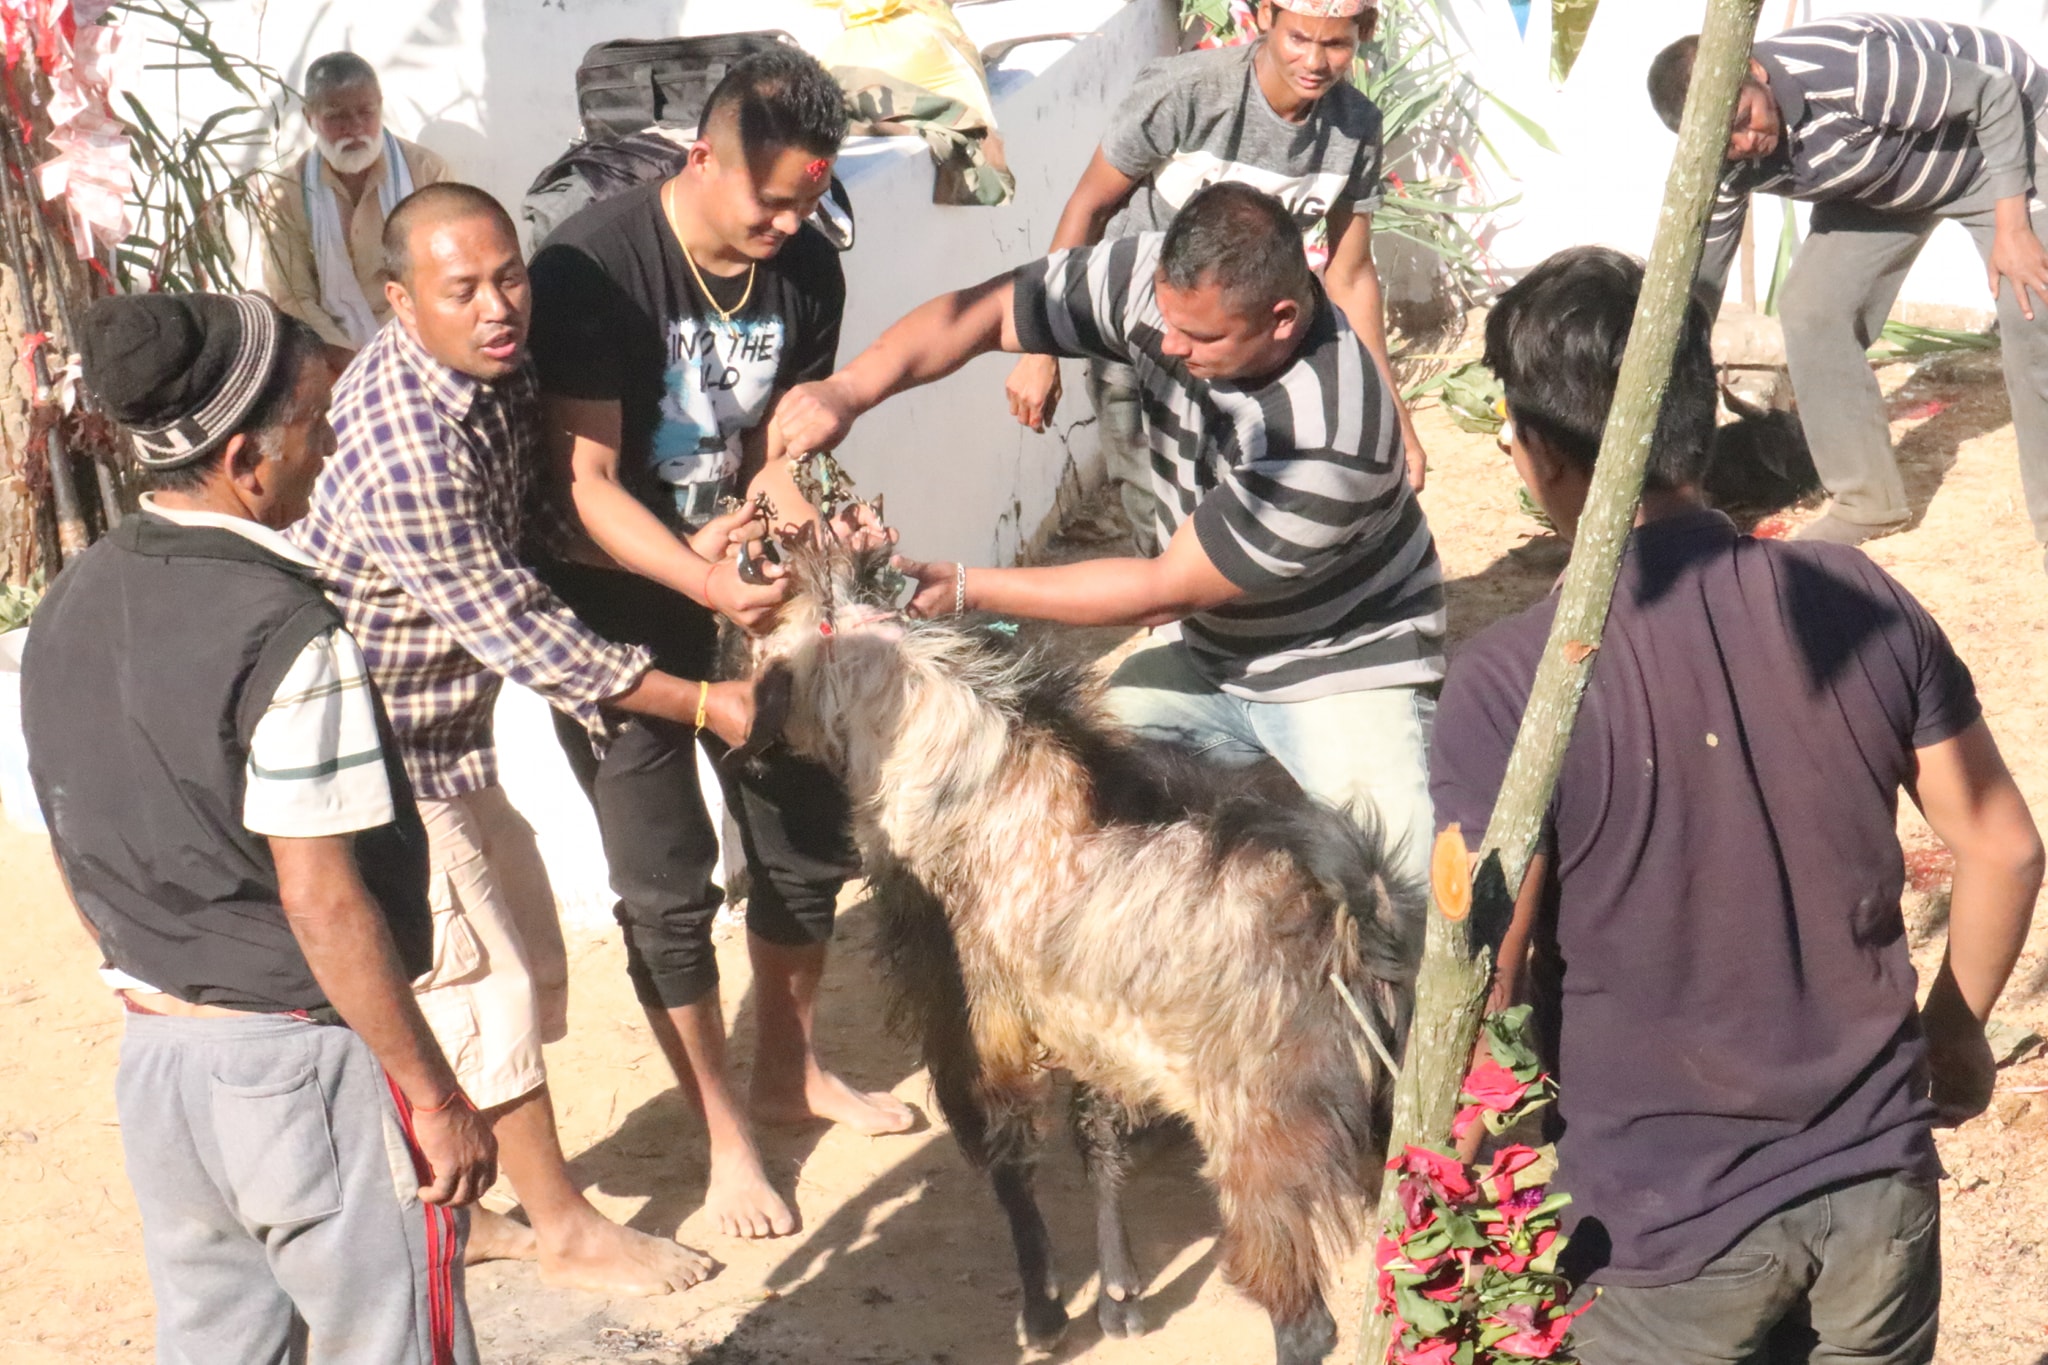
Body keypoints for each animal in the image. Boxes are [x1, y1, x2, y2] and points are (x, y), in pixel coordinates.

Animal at [741, 540, 1425, 1358]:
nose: (746, 762)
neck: (959, 773)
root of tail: (1352, 917)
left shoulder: (973, 1014)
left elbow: (1010, 1154)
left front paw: (1043, 1310)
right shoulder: (1092, 1025)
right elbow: (1096, 1136)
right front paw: (1118, 1293)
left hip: (1262, 1130)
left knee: (1304, 1317)